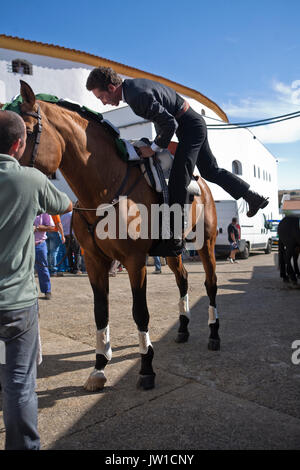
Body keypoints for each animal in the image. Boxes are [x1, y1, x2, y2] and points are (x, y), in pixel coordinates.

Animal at [17, 81, 219, 392]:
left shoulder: (135, 262)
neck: (105, 188)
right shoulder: (93, 261)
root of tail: (202, 184)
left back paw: (213, 333)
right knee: (183, 279)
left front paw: (146, 368)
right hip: (172, 252)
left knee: (210, 284)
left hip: (206, 245)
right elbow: (101, 312)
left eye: (26, 130)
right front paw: (99, 367)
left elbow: (140, 312)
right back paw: (183, 327)